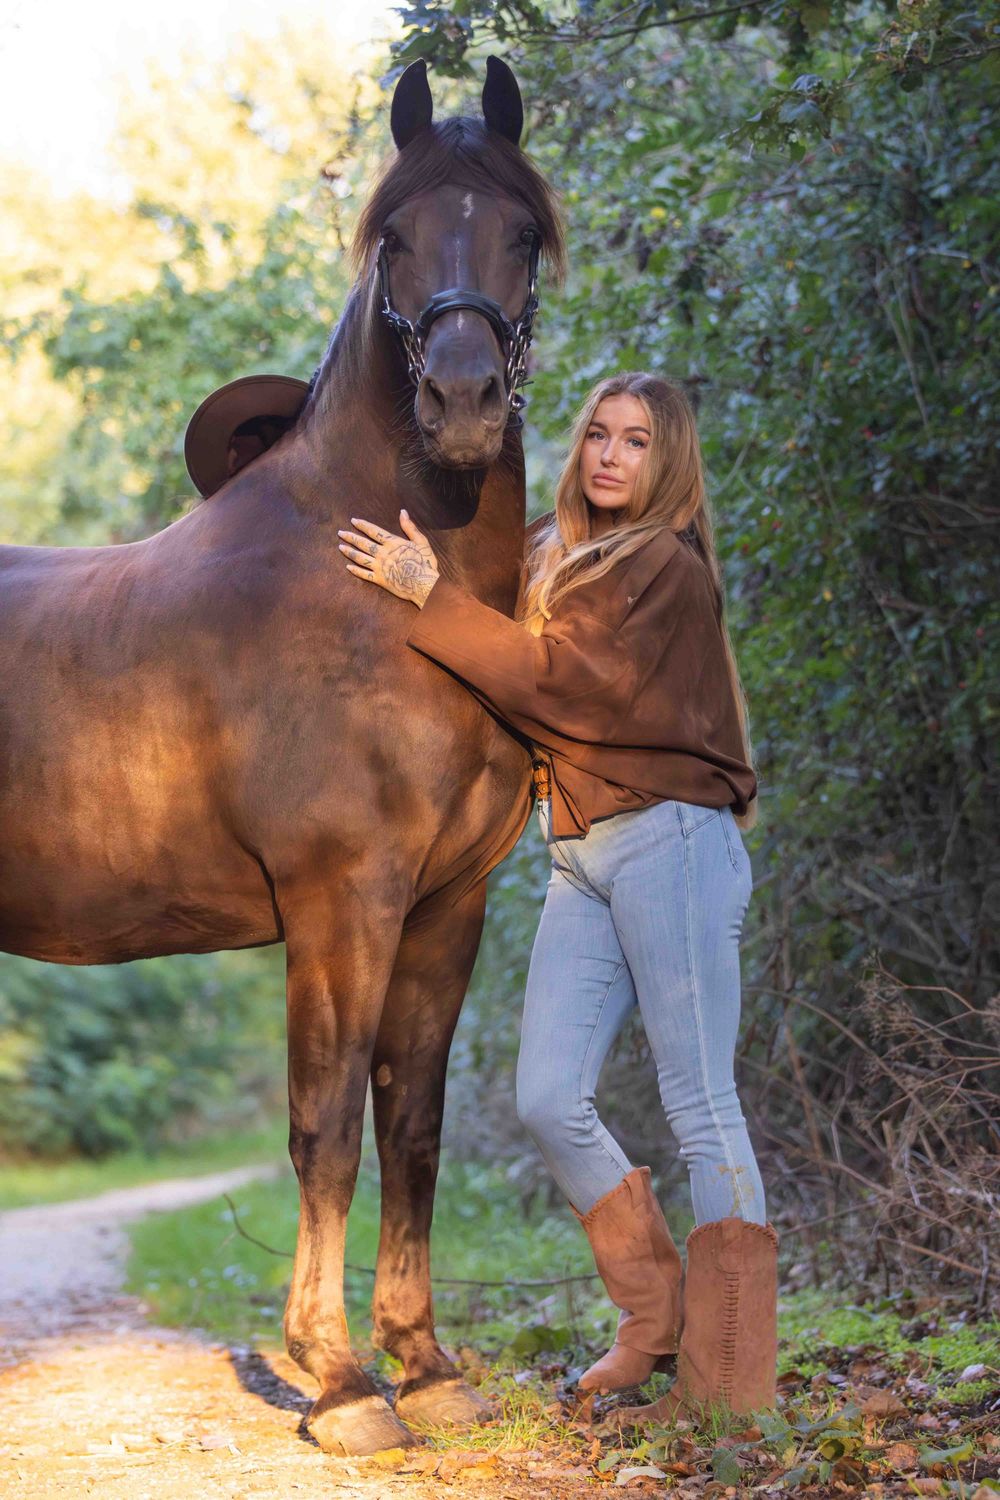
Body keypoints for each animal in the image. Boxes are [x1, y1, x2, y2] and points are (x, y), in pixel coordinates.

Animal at [0, 57, 565, 1455]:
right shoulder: (337, 900)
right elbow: (326, 1128)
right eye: (395, 237)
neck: (380, 596)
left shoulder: (443, 906)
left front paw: (426, 1364)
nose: (462, 404)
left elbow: (410, 1124)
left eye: (522, 234)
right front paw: (342, 1381)